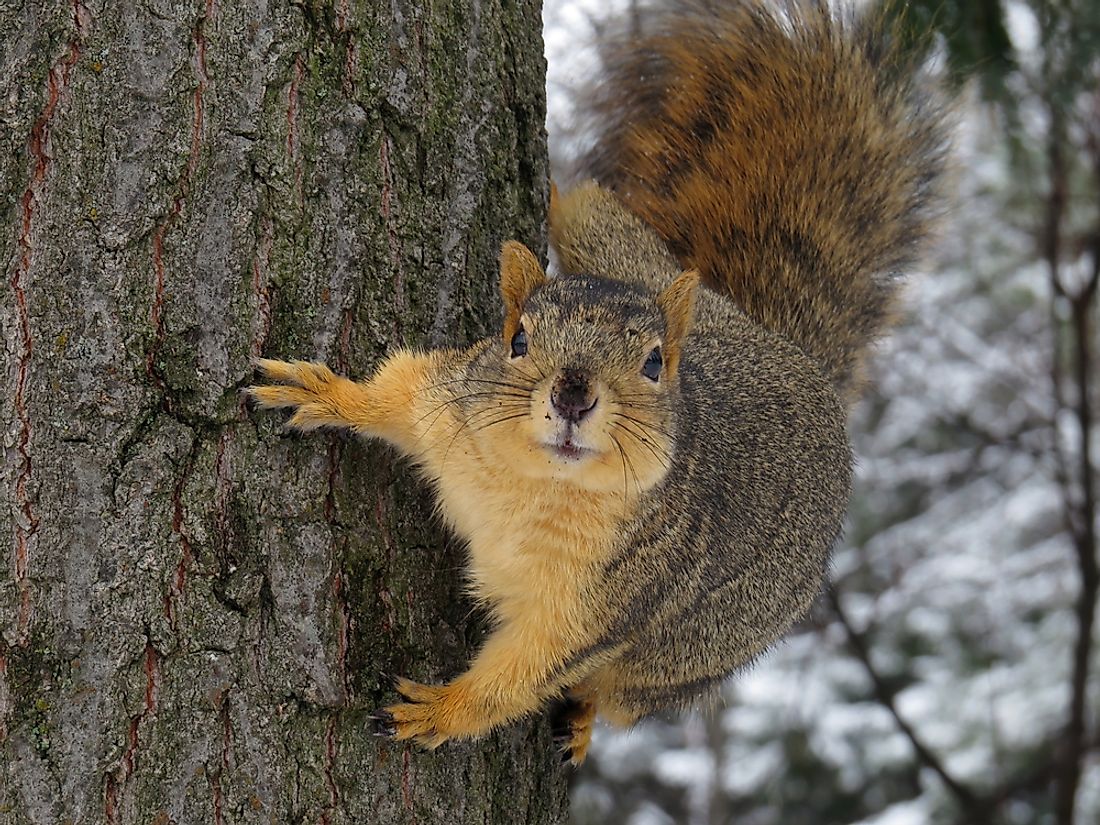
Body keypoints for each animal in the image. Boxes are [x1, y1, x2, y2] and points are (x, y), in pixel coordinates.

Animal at [247, 0, 946, 765]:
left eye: (653, 363)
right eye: (518, 337)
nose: (572, 394)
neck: (537, 482)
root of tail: (799, 362)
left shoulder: (603, 609)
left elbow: (526, 671)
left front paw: (441, 711)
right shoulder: (452, 406)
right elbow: (396, 393)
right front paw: (327, 393)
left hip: (678, 662)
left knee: (615, 696)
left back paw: (581, 724)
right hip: (622, 254)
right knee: (592, 211)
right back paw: (555, 187)